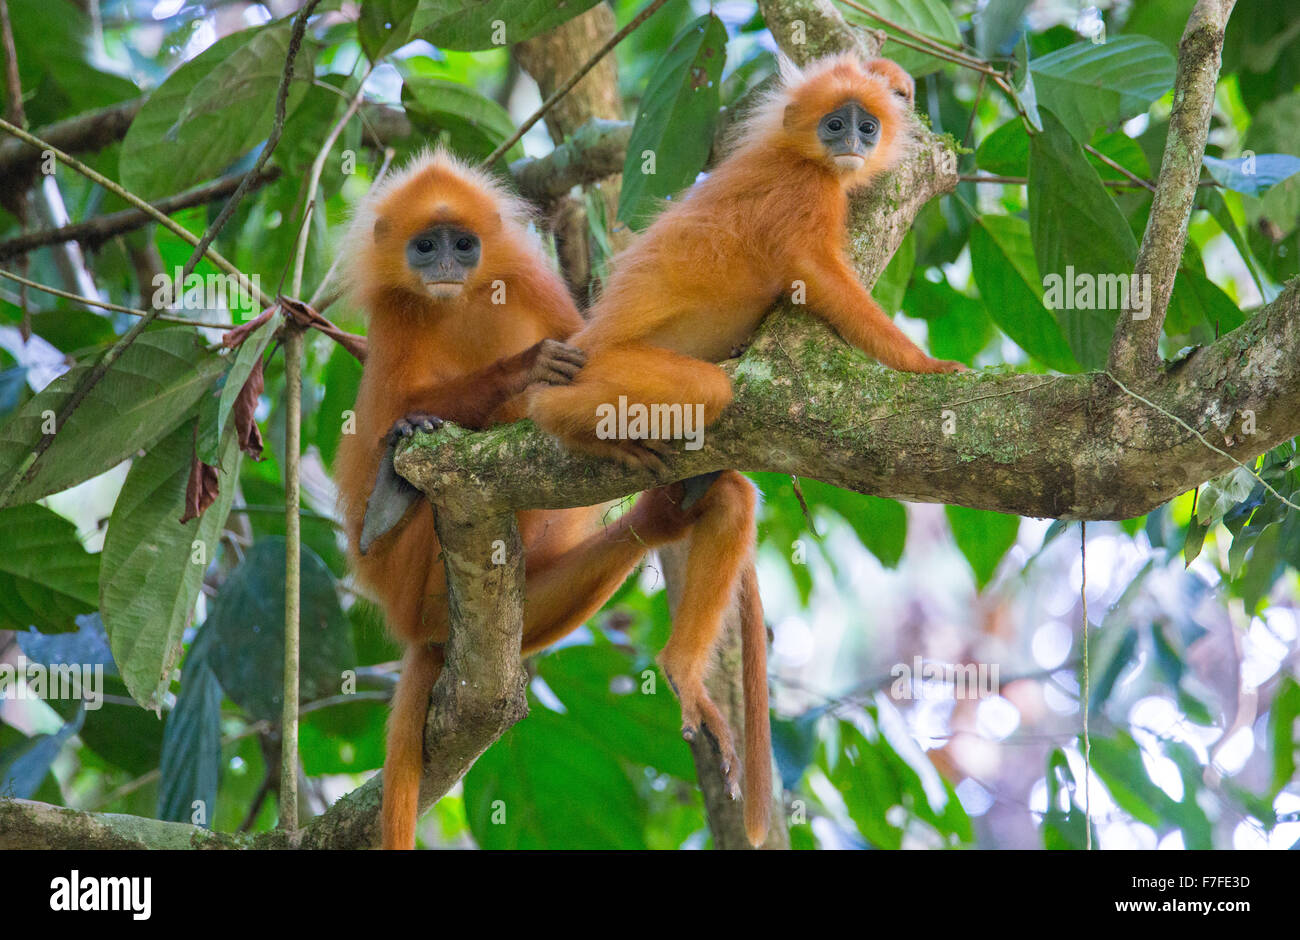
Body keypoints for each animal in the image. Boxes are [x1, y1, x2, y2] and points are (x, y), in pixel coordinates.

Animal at [335, 150, 704, 850]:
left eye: (462, 244)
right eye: (425, 246)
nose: (446, 266)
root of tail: (417, 628)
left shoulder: (532, 282)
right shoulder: (394, 318)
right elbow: (380, 426)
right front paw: (523, 369)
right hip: (406, 569)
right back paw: (396, 489)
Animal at [527, 54, 965, 845]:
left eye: (866, 125)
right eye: (835, 123)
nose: (851, 142)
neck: (802, 158)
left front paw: (892, 72)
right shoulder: (803, 198)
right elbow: (823, 282)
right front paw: (926, 367)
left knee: (730, 501)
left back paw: (681, 657)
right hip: (617, 369)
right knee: (706, 394)